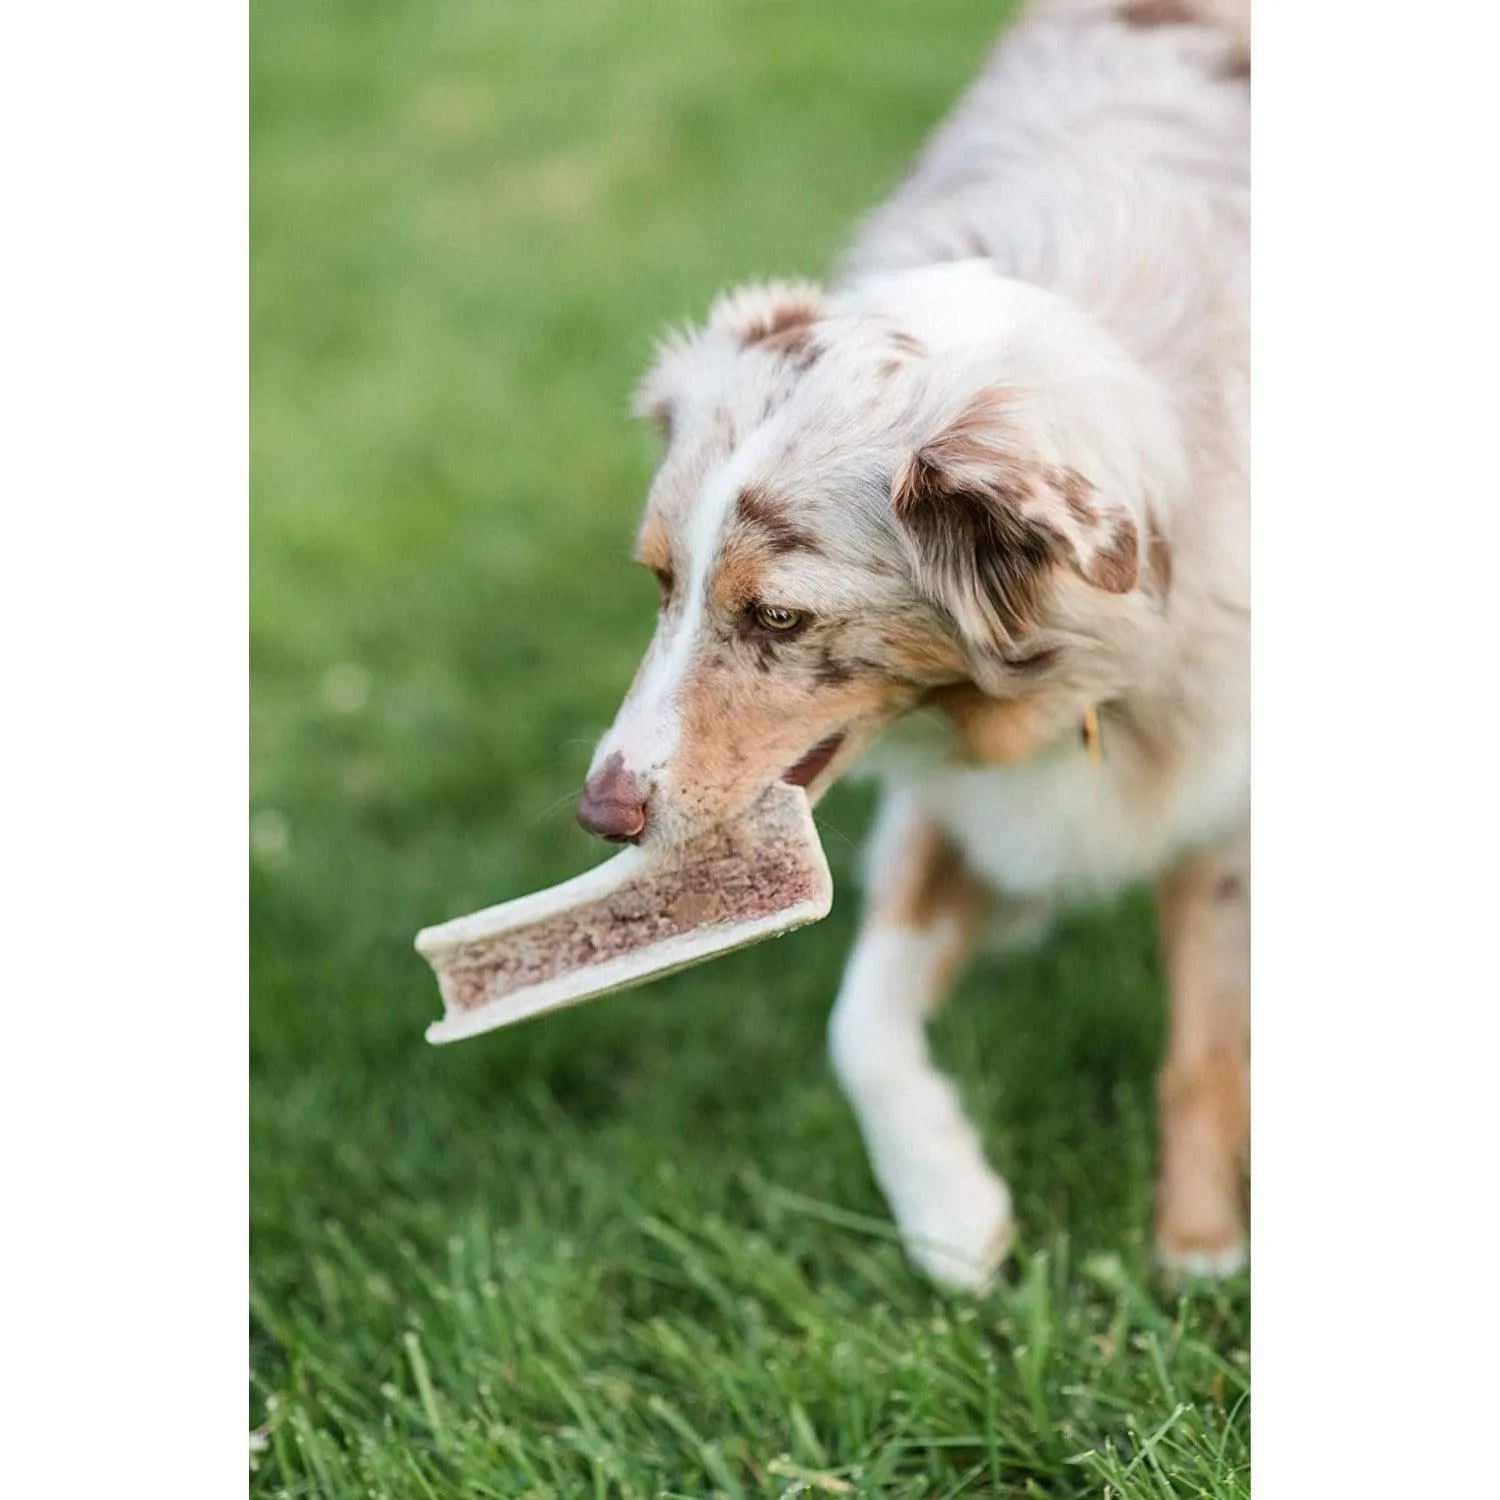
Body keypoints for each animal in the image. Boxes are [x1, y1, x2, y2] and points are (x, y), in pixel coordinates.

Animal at [573, 0, 1242, 1290]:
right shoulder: (956, 803)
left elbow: (1202, 1044)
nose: (600, 811)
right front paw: (951, 1215)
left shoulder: (1223, 798)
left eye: (778, 617)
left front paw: (1197, 1254)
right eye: (660, 582)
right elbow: (860, 1024)